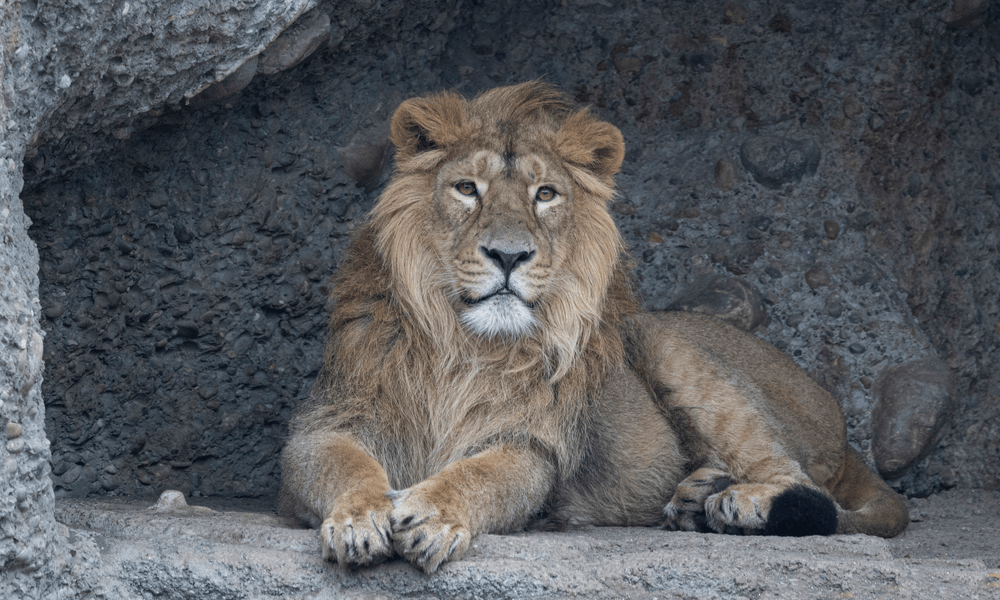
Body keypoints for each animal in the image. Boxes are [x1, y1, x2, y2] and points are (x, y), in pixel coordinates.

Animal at [279, 81, 909, 573]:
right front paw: (358, 519)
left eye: (545, 194)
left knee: (800, 481)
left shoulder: (534, 445)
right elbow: (343, 464)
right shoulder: (327, 421)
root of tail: (844, 432)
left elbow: (481, 476)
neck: (465, 342)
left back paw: (737, 503)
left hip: (666, 344)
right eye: (466, 188)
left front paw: (434, 515)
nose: (509, 255)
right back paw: (697, 497)